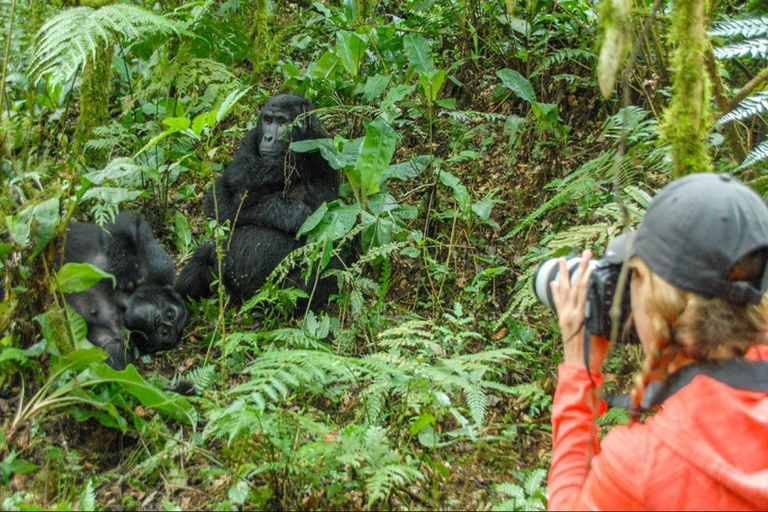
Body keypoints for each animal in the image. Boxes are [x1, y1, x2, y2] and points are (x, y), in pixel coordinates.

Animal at [62, 210, 188, 370]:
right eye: (169, 314)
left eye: (164, 332)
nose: (156, 320)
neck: (124, 302)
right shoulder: (159, 270)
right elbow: (130, 223)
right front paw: (127, 271)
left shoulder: (119, 346)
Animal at [176, 92, 344, 310]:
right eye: (267, 120)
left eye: (282, 122)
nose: (268, 137)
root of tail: (240, 299)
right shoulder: (249, 141)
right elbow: (220, 201)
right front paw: (288, 213)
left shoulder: (323, 153)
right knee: (205, 253)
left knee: (324, 266)